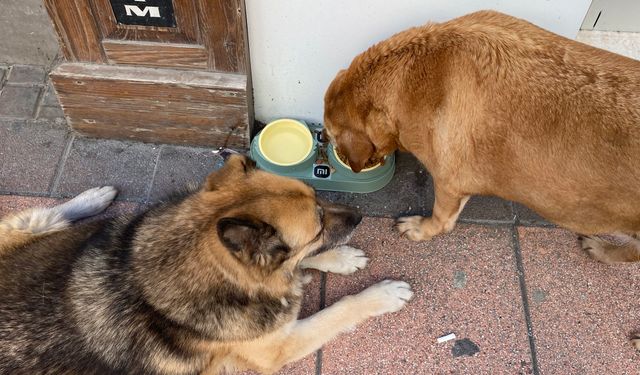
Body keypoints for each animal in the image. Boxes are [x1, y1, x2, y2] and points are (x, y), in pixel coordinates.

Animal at [0, 154, 412, 374]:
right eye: (318, 225)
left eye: (319, 198)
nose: (361, 217)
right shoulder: (279, 348)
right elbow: (339, 309)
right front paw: (381, 295)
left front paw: (339, 258)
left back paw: (94, 200)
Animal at [324, 10, 640, 352]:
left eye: (330, 133)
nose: (328, 146)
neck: (410, 76)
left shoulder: (448, 183)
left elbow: (441, 220)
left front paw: (421, 229)